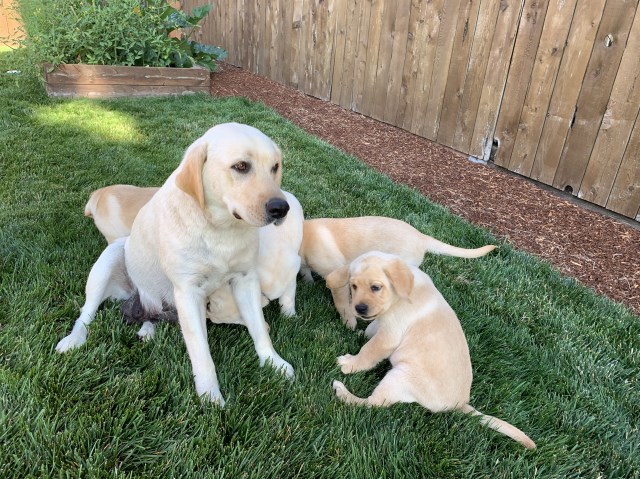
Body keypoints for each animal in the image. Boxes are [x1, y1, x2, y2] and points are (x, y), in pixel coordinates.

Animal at [56, 124, 294, 404]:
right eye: (241, 166)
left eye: (275, 167)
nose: (281, 208)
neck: (220, 231)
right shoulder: (188, 292)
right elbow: (202, 353)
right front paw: (211, 396)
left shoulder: (245, 280)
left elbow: (259, 329)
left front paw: (273, 362)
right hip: (111, 257)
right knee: (86, 313)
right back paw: (74, 339)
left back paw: (147, 329)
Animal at [298, 218, 496, 330]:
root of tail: (421, 237)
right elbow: (305, 271)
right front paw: (308, 280)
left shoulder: (337, 276)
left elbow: (342, 303)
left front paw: (349, 323)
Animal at [328, 253, 536, 452]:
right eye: (353, 286)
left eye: (375, 287)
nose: (359, 308)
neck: (401, 294)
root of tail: (459, 404)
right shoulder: (382, 322)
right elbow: (371, 329)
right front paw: (360, 333)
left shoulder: (389, 336)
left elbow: (369, 351)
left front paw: (350, 364)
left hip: (400, 375)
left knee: (372, 404)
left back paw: (342, 391)